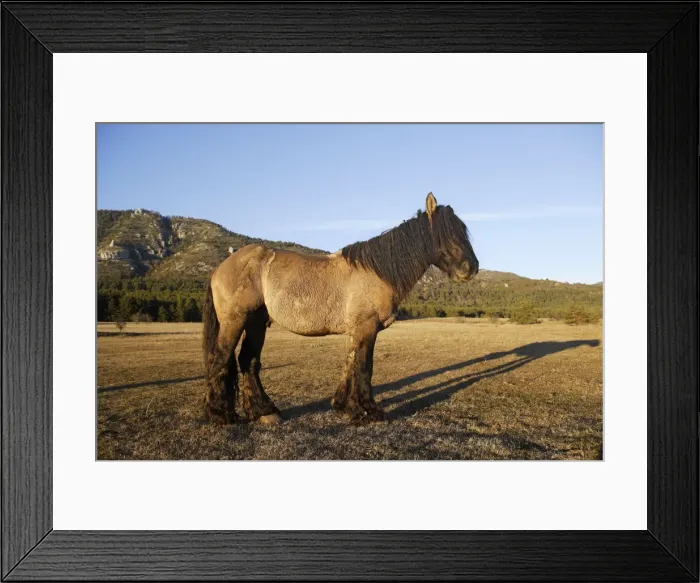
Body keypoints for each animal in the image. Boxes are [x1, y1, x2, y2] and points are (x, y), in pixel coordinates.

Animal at [201, 192, 479, 425]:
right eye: (445, 234)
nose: (471, 268)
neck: (377, 271)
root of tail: (220, 267)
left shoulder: (356, 330)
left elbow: (350, 364)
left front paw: (345, 406)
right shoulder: (367, 328)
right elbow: (365, 368)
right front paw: (369, 411)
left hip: (256, 323)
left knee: (248, 361)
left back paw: (264, 412)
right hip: (235, 321)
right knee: (221, 358)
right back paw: (220, 415)